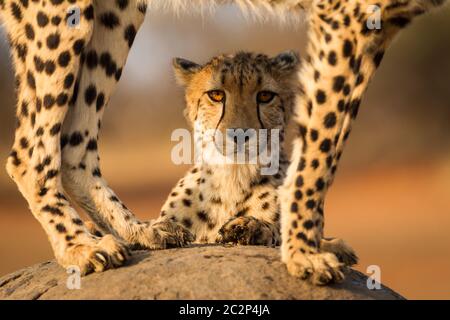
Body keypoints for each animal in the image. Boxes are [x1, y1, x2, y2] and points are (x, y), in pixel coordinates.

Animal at [0, 0, 446, 284]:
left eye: (265, 96)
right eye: (216, 95)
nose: (239, 133)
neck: (232, 175)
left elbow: (278, 217)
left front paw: (274, 235)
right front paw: (306, 254)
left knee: (73, 141)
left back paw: (137, 232)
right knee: (34, 148)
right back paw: (83, 245)